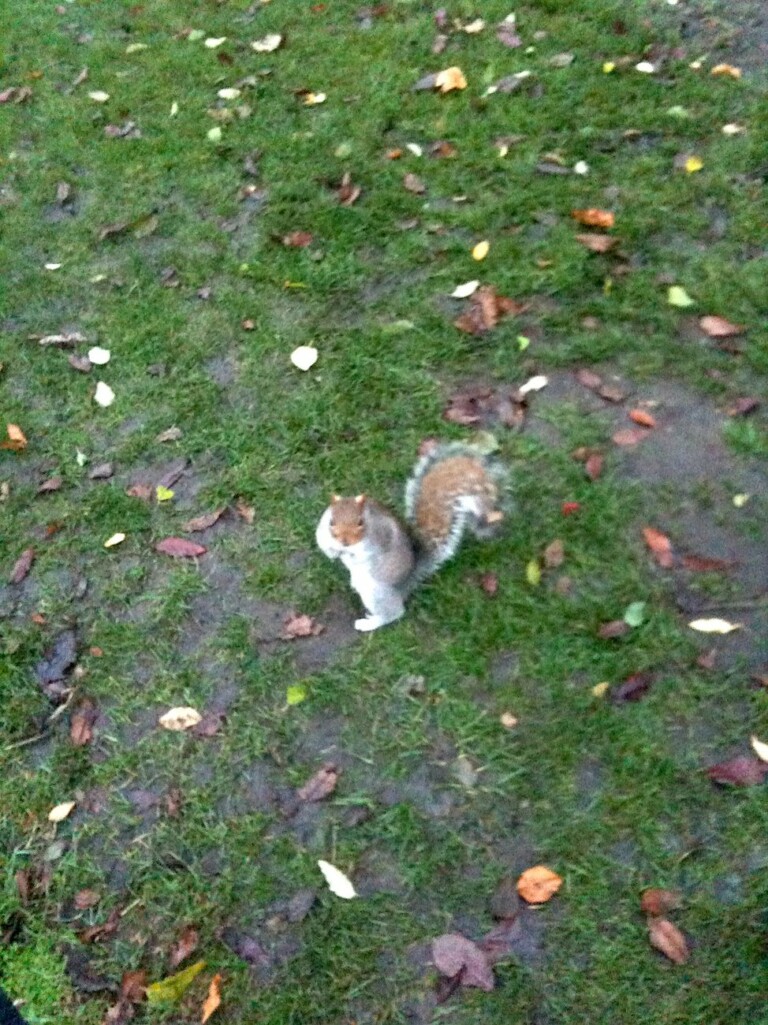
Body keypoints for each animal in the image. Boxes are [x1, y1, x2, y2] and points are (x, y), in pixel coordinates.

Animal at [313, 442, 506, 627]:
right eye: (331, 521)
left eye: (360, 522)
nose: (344, 541)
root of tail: (405, 584)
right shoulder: (323, 531)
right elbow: (322, 543)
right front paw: (333, 552)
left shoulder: (381, 536)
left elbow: (364, 553)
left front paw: (349, 554)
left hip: (375, 590)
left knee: (394, 612)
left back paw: (369, 623)